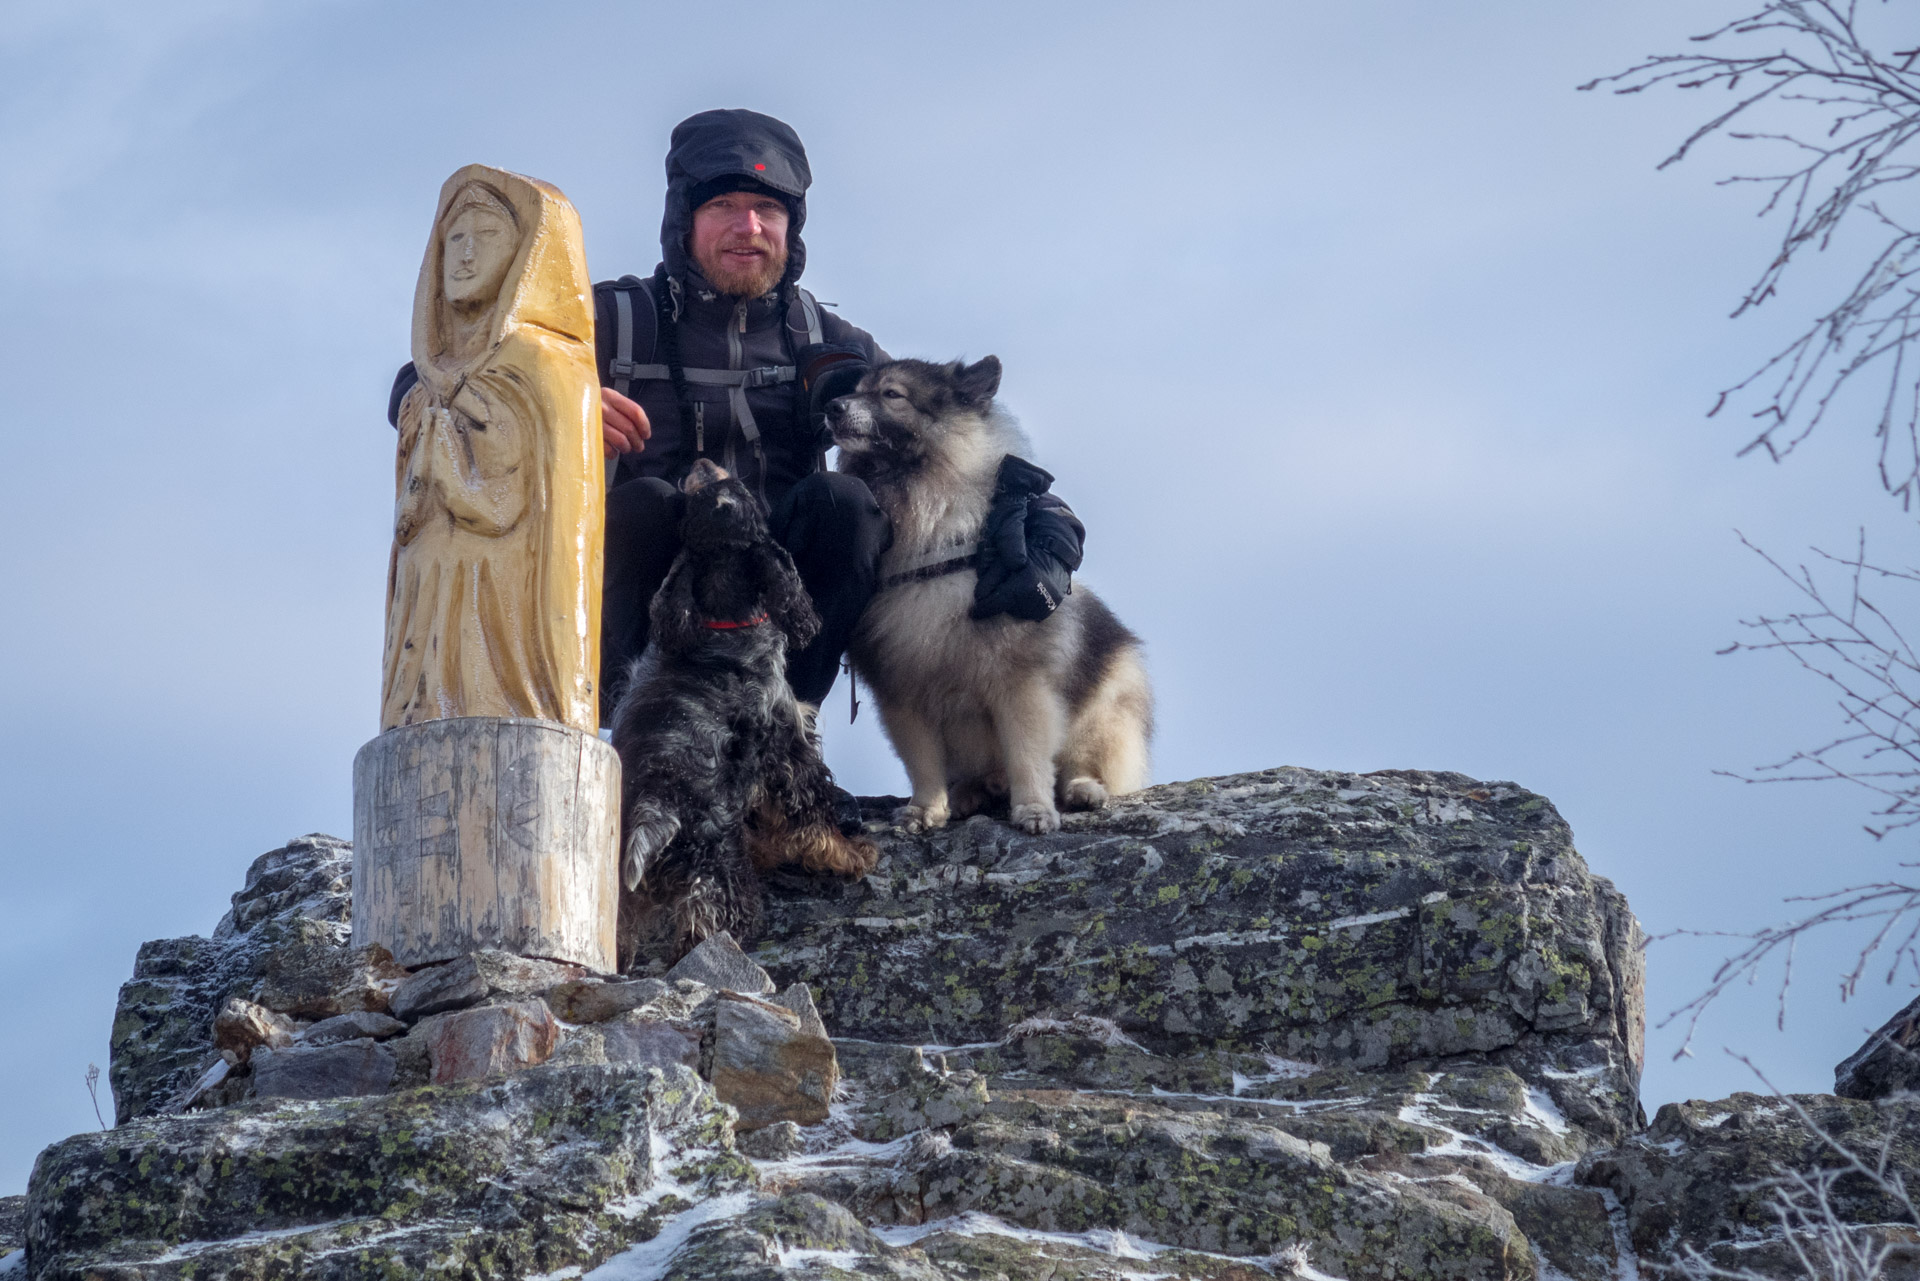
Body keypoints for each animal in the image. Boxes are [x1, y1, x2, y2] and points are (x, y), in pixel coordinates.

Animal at [829, 359, 1152, 841]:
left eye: (892, 394)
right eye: (856, 388)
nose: (832, 406)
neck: (931, 544)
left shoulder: (1019, 683)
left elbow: (1027, 754)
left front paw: (1034, 809)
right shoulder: (903, 690)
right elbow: (922, 762)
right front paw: (924, 810)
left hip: (1107, 704)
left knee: (1082, 761)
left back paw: (1081, 790)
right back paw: (970, 794)